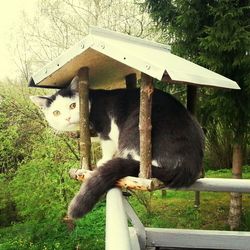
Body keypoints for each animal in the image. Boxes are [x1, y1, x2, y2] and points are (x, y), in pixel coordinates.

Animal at [30, 76, 204, 219]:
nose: (67, 118)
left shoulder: (107, 127)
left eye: (73, 105)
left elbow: (107, 144)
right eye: (56, 113)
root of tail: (187, 166)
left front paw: (103, 160)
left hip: (135, 127)